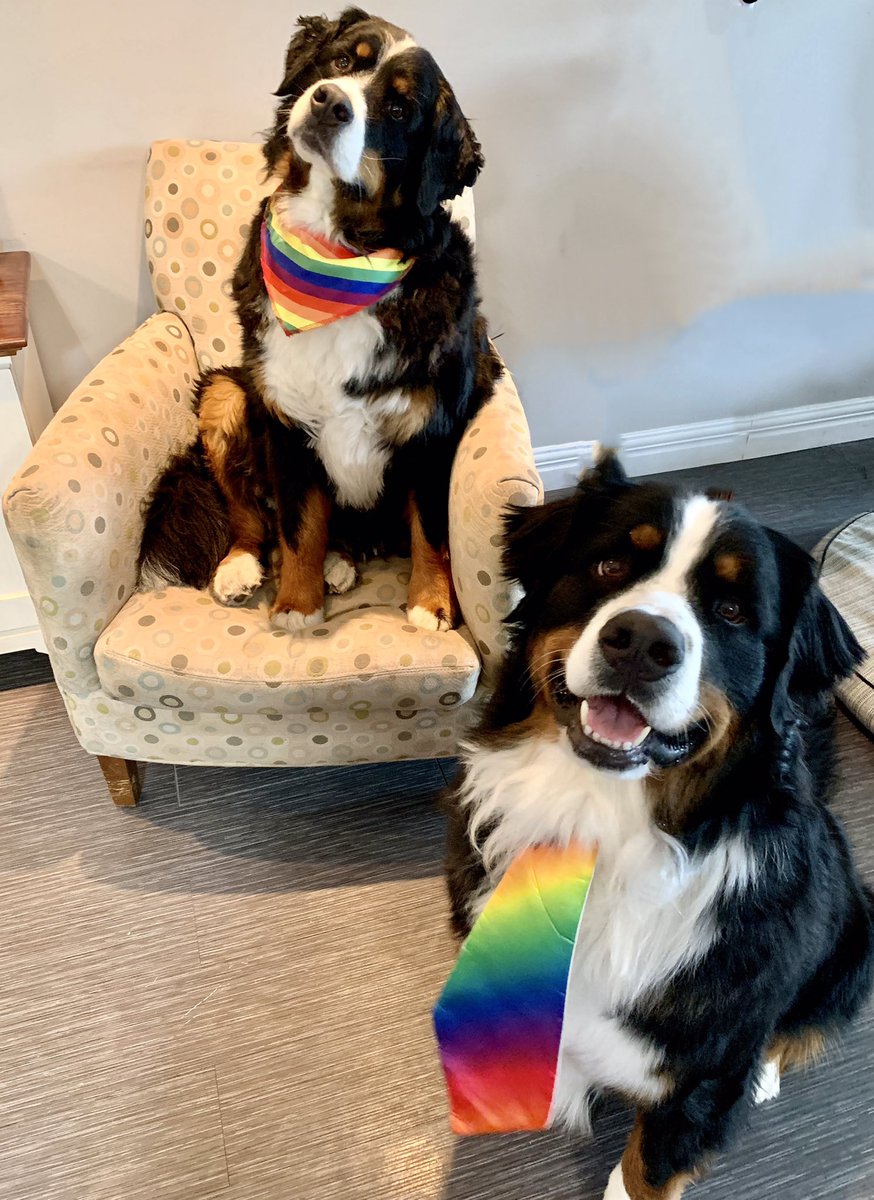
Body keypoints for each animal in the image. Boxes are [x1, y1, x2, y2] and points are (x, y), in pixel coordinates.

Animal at [141, 7, 501, 628]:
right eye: (340, 60)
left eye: (398, 110)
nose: (329, 102)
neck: (338, 248)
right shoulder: (283, 420)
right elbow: (297, 525)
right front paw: (296, 604)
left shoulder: (433, 428)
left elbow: (432, 532)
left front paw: (431, 603)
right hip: (227, 393)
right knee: (249, 516)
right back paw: (244, 566)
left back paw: (342, 562)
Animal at [446, 451, 869, 1200]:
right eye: (611, 565)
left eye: (731, 610)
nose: (642, 641)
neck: (604, 827)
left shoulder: (698, 1080)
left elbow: (648, 1168)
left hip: (856, 943)